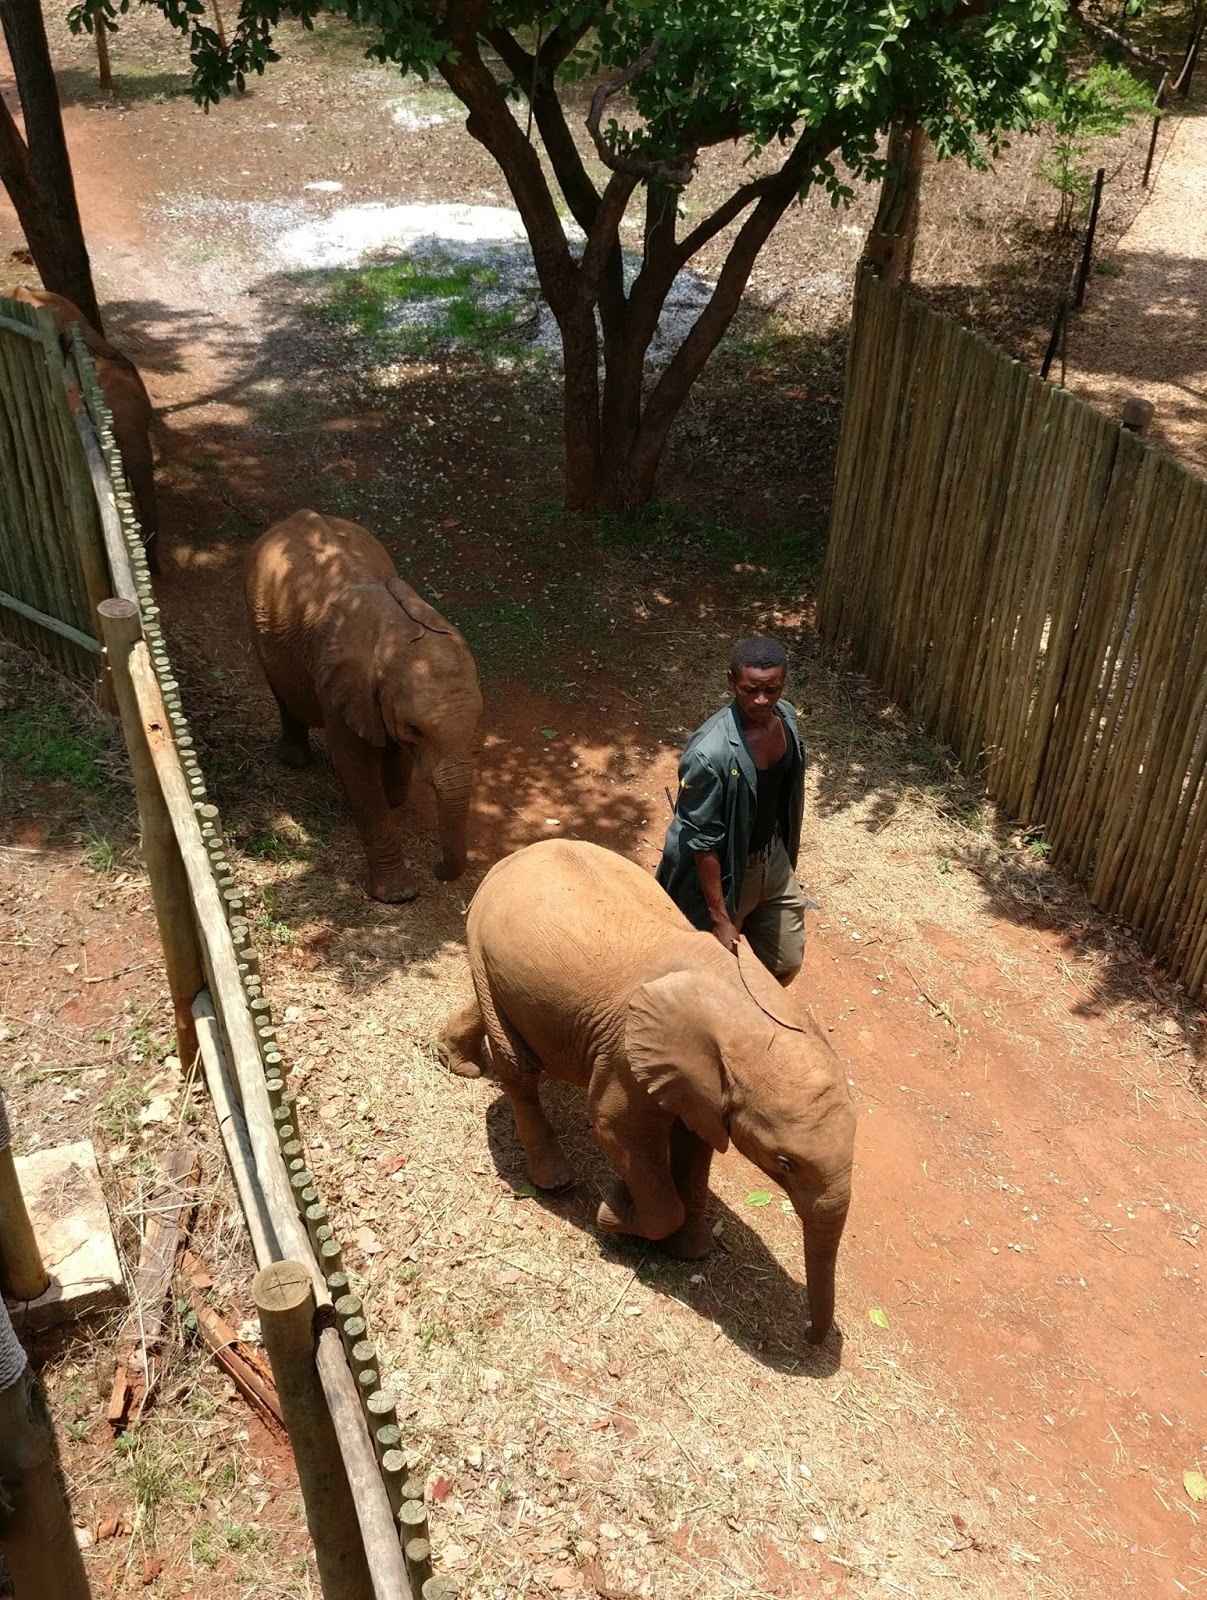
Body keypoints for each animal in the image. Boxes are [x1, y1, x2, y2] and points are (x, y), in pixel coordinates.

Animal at [244, 510, 483, 903]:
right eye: (416, 729)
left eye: (478, 722)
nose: (436, 869)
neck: (395, 635)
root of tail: (295, 515)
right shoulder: (338, 681)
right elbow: (357, 768)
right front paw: (398, 896)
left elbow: (392, 752)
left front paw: (394, 798)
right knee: (283, 693)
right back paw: (295, 761)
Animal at [440, 839, 857, 1345]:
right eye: (785, 1163)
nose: (810, 1338)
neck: (749, 1017)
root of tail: (516, 855)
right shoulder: (625, 1052)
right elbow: (619, 1131)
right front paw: (615, 1211)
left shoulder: (701, 1086)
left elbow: (696, 1146)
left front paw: (692, 1249)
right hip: (483, 941)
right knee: (519, 1068)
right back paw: (555, 1181)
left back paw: (458, 1064)